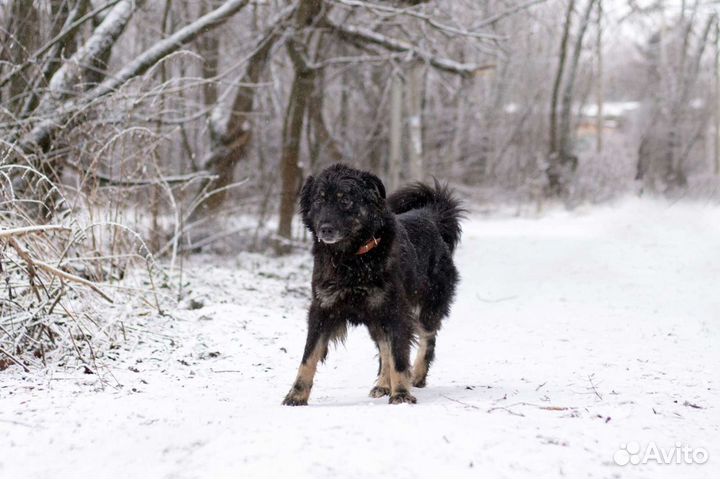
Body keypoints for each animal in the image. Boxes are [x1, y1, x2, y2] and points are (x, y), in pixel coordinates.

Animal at [282, 165, 462, 404]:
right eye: (319, 200)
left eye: (345, 200)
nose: (325, 229)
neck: (351, 260)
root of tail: (429, 215)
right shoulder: (323, 309)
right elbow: (308, 356)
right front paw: (296, 394)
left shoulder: (396, 311)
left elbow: (399, 357)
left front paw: (401, 394)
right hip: (376, 317)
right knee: (384, 348)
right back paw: (383, 384)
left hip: (428, 306)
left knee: (427, 340)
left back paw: (417, 376)